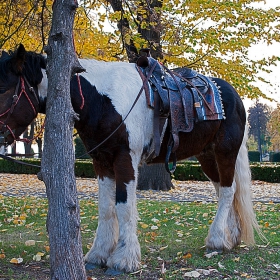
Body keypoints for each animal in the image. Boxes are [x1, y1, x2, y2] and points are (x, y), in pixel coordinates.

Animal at [0, 44, 262, 274]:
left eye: (3, 90)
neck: (102, 100)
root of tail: (234, 96)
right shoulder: (101, 162)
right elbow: (106, 208)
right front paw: (98, 255)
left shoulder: (125, 159)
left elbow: (123, 207)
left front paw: (123, 260)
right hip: (206, 156)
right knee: (225, 190)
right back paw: (232, 237)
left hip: (225, 152)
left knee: (228, 190)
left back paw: (217, 240)